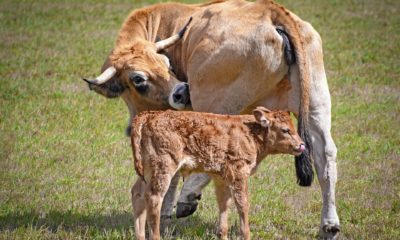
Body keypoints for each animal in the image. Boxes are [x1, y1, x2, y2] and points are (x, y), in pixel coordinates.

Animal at [130, 107, 304, 240]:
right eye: (285, 130)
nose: (301, 145)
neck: (251, 133)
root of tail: (150, 115)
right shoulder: (239, 173)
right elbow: (242, 204)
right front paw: (246, 234)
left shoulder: (221, 178)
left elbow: (224, 205)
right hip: (163, 167)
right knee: (153, 198)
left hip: (148, 170)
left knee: (138, 194)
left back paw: (140, 236)